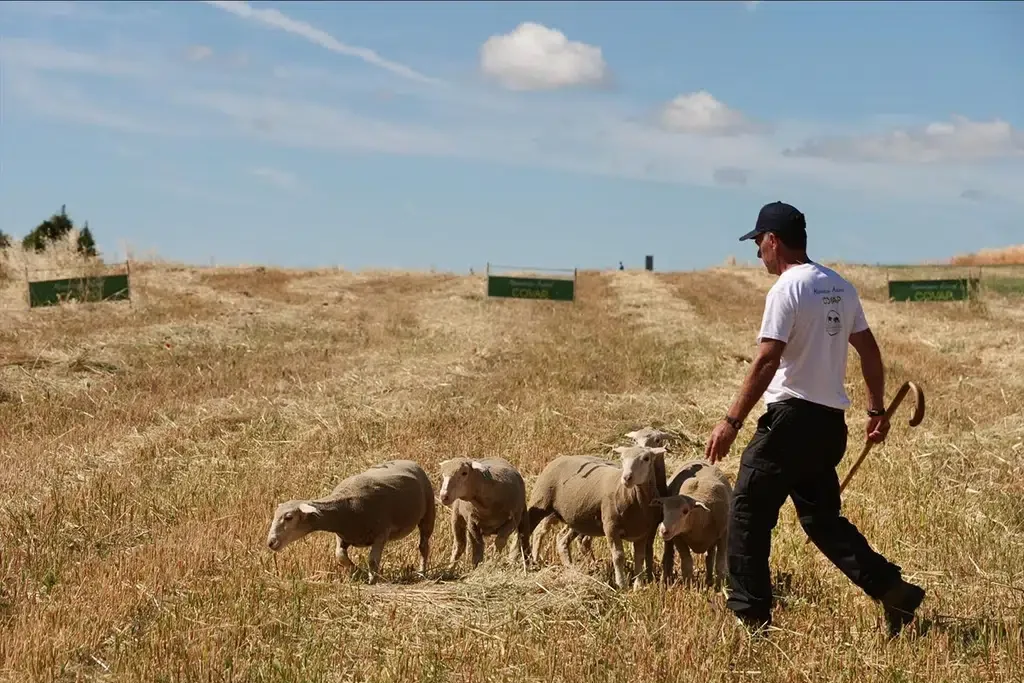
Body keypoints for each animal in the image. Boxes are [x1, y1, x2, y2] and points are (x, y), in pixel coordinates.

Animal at [266, 456, 434, 585]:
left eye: (289, 517)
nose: (271, 542)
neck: (345, 509)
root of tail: (408, 461)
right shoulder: (342, 536)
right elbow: (340, 556)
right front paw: (358, 572)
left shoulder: (382, 532)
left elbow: (372, 560)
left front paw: (372, 580)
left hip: (428, 512)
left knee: (423, 546)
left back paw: (422, 573)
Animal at [524, 446, 667, 589]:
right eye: (622, 458)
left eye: (646, 458)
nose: (627, 478)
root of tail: (561, 457)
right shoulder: (611, 526)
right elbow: (618, 556)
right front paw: (622, 585)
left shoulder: (642, 533)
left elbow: (639, 557)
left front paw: (638, 586)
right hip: (541, 500)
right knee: (533, 530)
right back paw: (528, 560)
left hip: (576, 518)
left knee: (561, 538)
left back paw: (572, 568)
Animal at [651, 458, 733, 589]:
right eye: (663, 509)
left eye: (685, 511)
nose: (664, 530)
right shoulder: (678, 537)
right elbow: (687, 563)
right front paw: (688, 586)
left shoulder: (723, 535)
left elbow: (720, 564)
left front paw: (720, 587)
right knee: (668, 554)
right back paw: (666, 580)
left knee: (710, 558)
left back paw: (709, 581)